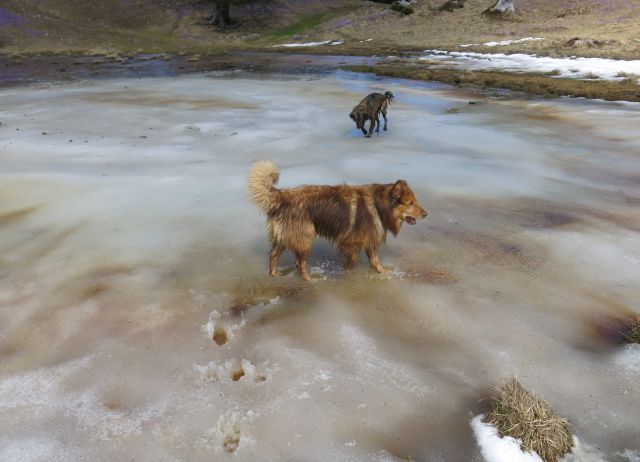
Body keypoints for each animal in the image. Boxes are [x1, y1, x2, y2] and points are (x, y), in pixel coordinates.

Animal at [248, 161, 428, 280]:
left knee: (273, 255)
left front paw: (383, 273)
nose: (426, 214)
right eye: (410, 203)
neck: (378, 206)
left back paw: (274, 274)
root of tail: (281, 196)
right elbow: (354, 259)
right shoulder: (348, 241)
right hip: (305, 237)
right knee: (300, 264)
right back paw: (309, 280)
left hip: (286, 237)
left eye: (415, 201)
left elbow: (375, 261)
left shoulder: (369, 239)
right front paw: (345, 270)